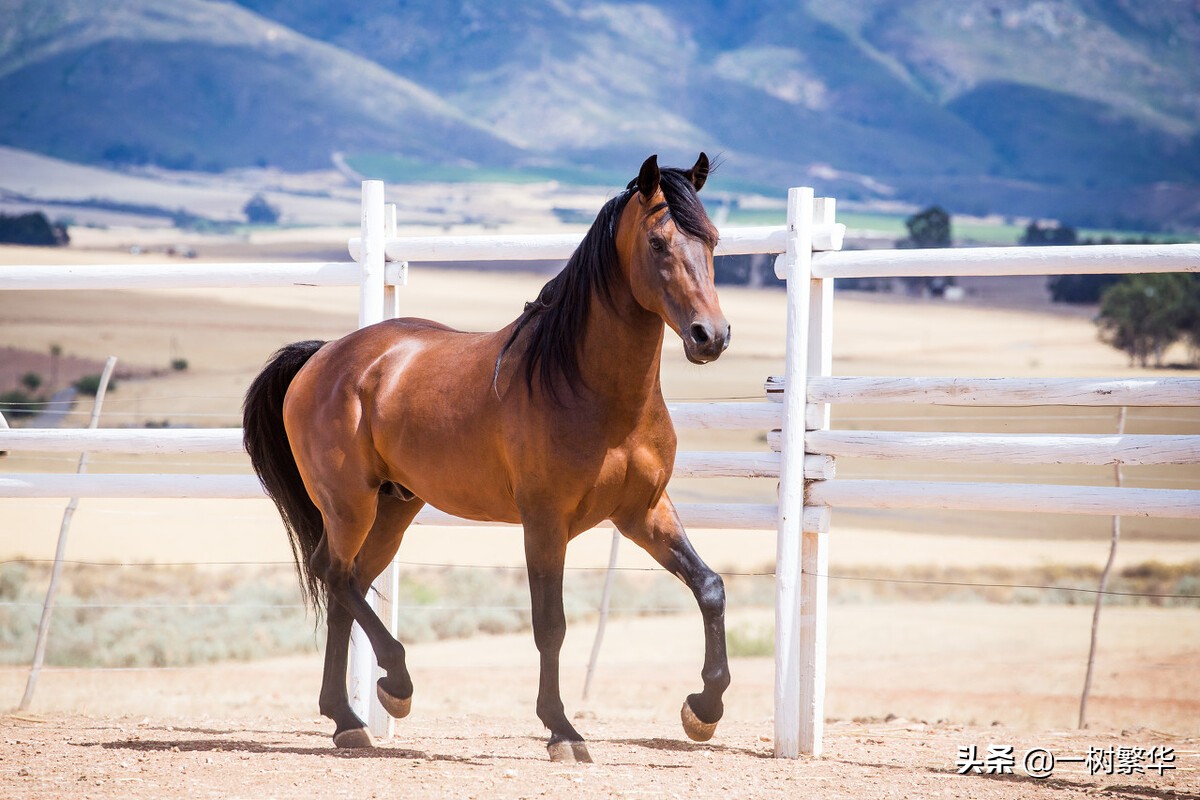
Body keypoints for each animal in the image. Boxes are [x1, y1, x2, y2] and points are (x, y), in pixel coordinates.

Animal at [243, 151, 729, 762]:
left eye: (712, 240)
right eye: (659, 243)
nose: (711, 336)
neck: (585, 384)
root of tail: (322, 356)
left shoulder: (643, 512)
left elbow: (709, 587)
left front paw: (702, 710)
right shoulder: (544, 521)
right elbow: (550, 624)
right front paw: (563, 731)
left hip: (394, 507)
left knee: (345, 583)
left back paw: (348, 721)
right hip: (349, 503)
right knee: (334, 573)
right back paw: (394, 685)